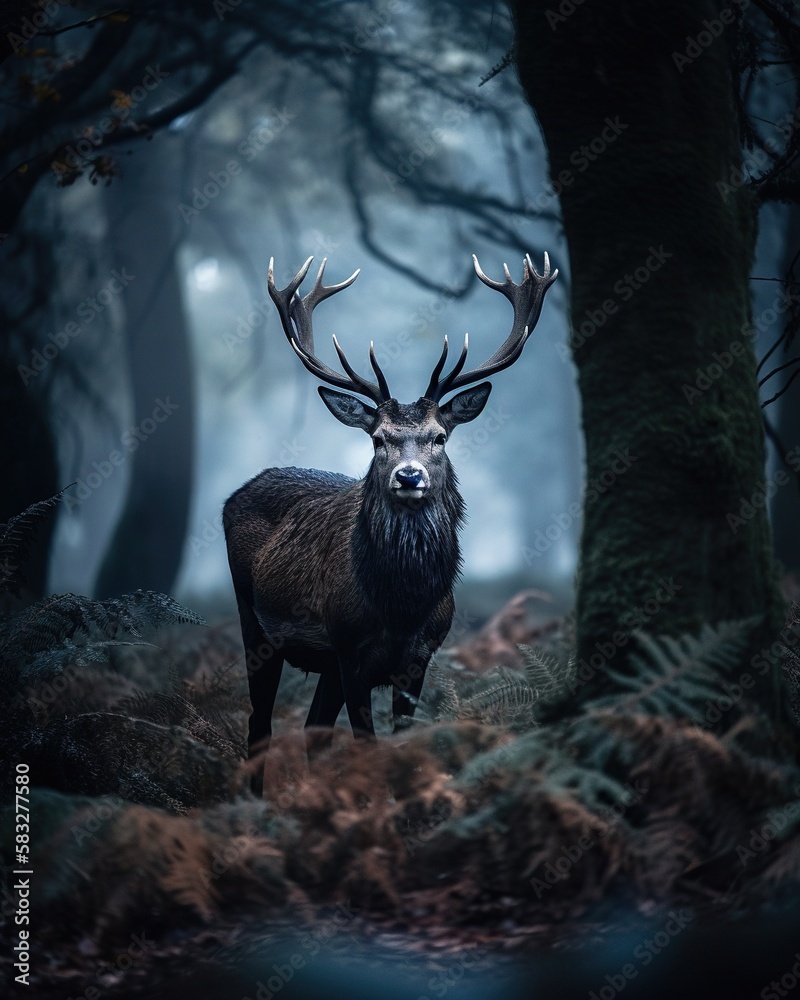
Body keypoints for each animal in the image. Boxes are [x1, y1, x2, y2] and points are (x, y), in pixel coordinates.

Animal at [223, 252, 557, 755]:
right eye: (379, 439)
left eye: (439, 437)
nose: (409, 475)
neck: (402, 607)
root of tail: (234, 495)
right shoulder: (348, 647)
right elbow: (366, 743)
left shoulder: (420, 655)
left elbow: (402, 741)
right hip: (255, 623)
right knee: (259, 724)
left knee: (312, 728)